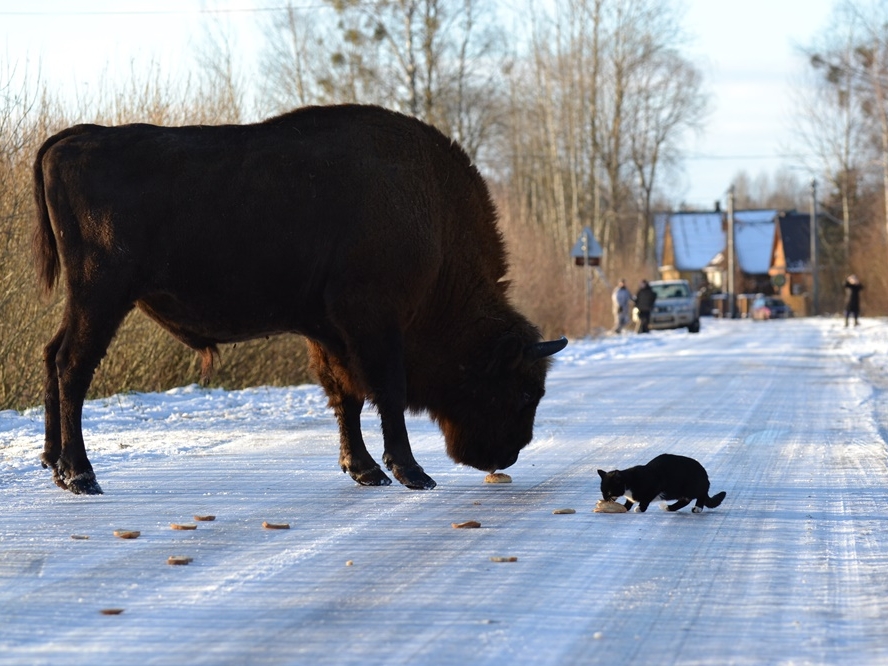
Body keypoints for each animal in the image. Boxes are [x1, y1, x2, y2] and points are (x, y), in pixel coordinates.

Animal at [33, 104, 568, 492]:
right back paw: (81, 475)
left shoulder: (329, 331)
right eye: (524, 390)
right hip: (101, 294)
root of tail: (73, 139)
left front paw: (365, 470)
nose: (507, 455)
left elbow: (346, 397)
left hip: (85, 300)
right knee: (72, 366)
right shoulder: (374, 322)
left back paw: (52, 464)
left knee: (51, 354)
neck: (430, 214)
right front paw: (412, 473)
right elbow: (386, 393)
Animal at [596, 454, 728, 510]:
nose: (605, 498)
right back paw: (670, 508)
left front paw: (640, 508)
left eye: (608, 492)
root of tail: (705, 477)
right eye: (602, 491)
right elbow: (629, 501)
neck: (630, 483)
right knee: (685, 500)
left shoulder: (655, 486)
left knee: (700, 496)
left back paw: (697, 508)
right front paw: (625, 507)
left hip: (692, 487)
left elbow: (645, 499)